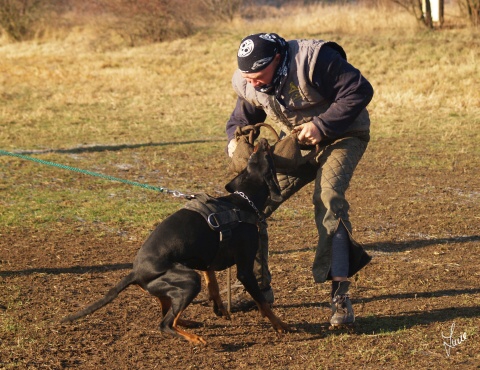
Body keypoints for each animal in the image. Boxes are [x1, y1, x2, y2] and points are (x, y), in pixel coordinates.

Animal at [62, 138, 290, 344]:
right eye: (266, 156)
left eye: (254, 156)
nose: (263, 140)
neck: (242, 201)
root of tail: (136, 272)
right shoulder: (244, 268)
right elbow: (262, 301)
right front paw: (280, 325)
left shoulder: (206, 257)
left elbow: (213, 282)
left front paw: (219, 307)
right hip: (190, 280)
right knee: (165, 323)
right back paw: (194, 338)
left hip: (172, 287)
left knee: (167, 313)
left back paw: (187, 322)